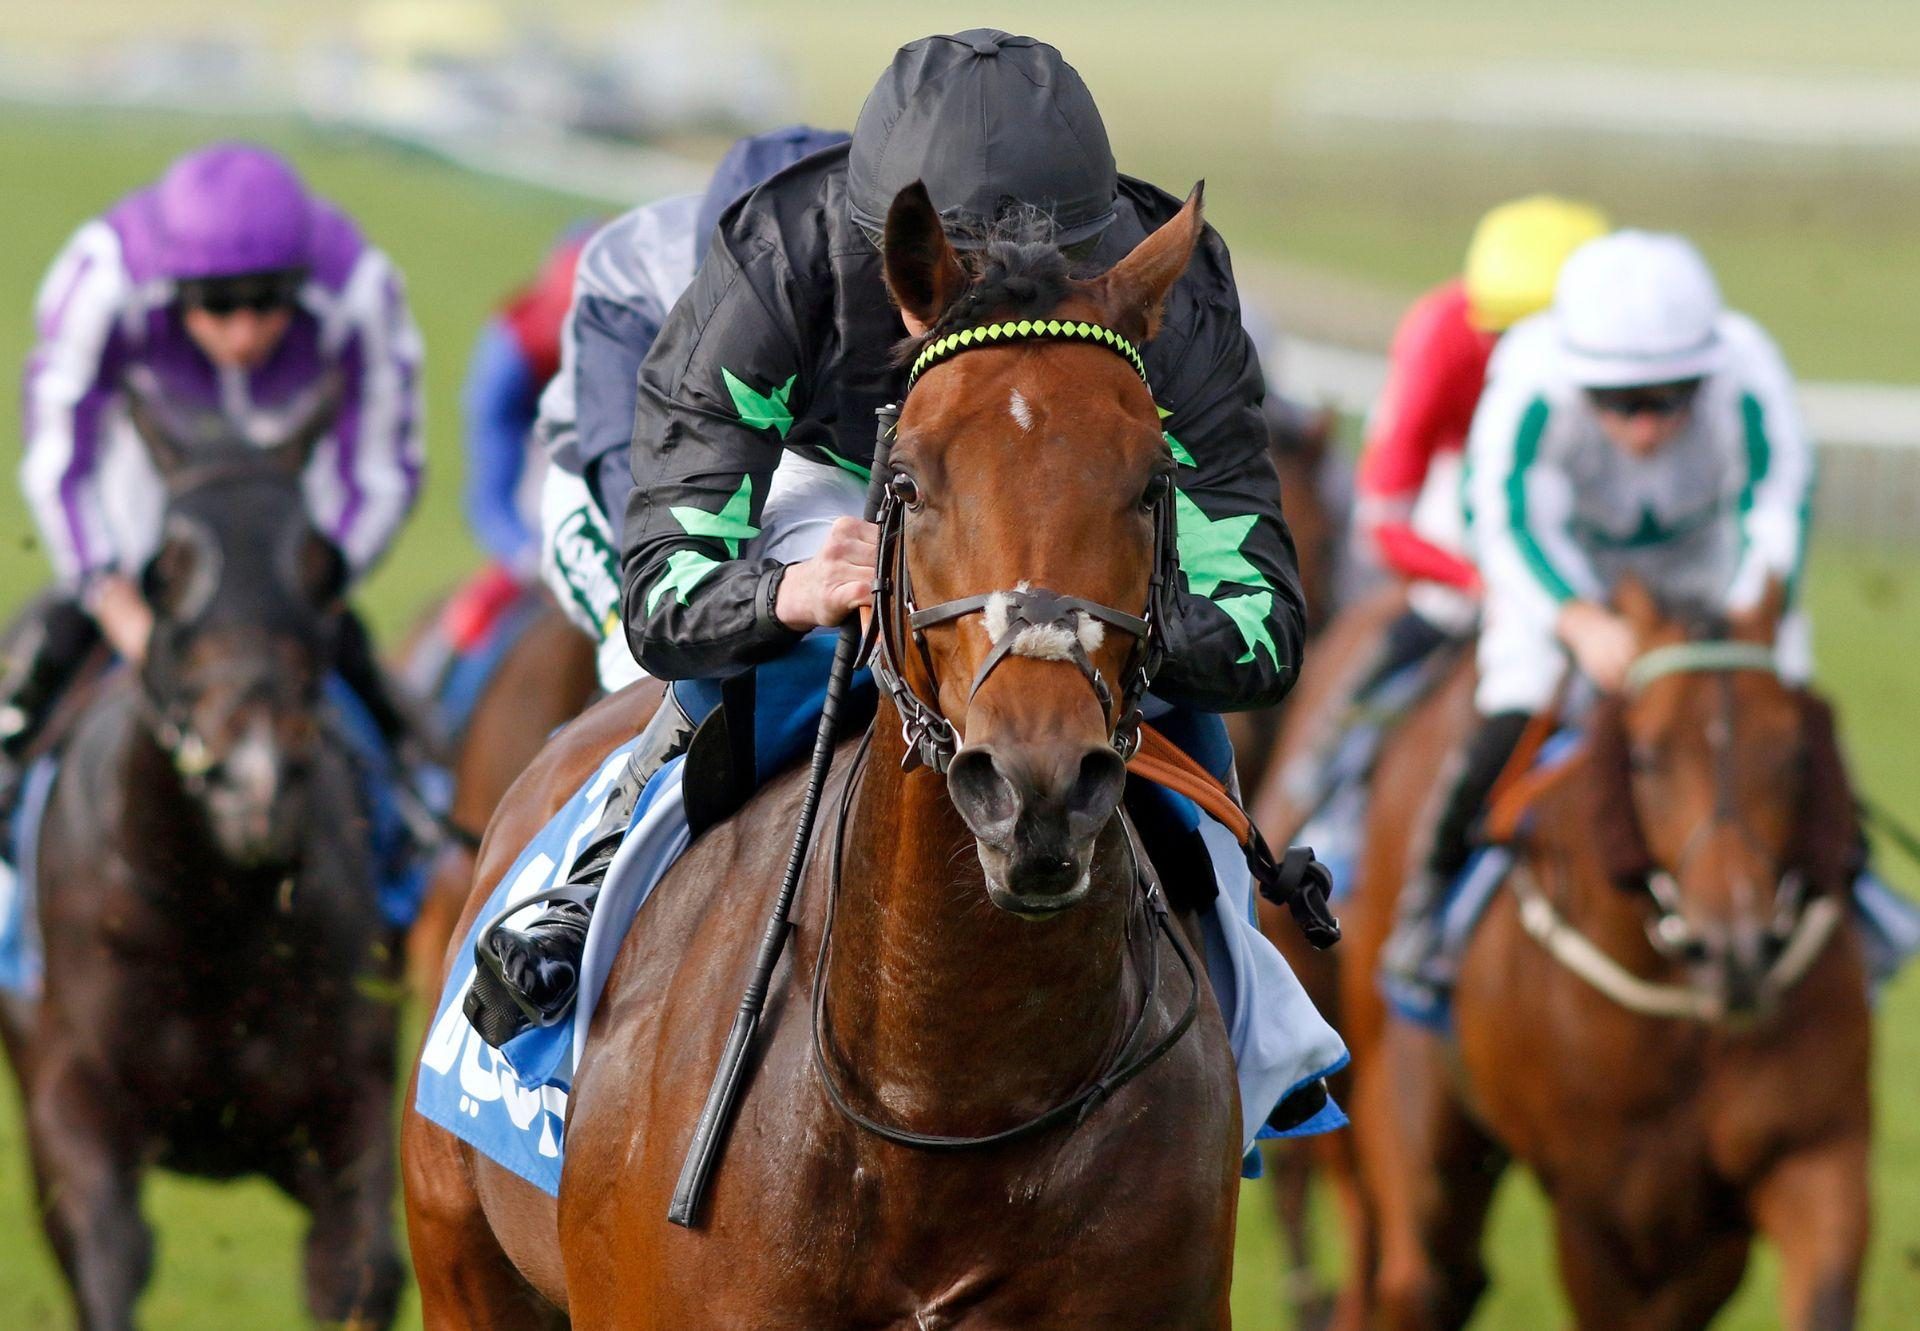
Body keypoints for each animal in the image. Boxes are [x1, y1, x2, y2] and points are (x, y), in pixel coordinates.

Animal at [1344, 580, 1866, 1329]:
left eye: (1796, 753)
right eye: (1645, 757)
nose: (1737, 950)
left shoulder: (1803, 1156)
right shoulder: (1599, 1209)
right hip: (1401, 1093)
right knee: (1415, 1276)